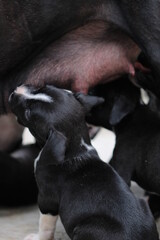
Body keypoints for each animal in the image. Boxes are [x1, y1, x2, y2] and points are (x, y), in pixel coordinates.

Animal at [9, 84, 158, 240]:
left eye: (28, 113)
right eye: (42, 87)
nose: (14, 92)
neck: (76, 146)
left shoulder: (46, 198)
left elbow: (45, 224)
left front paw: (38, 237)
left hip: (87, 228)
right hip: (144, 205)